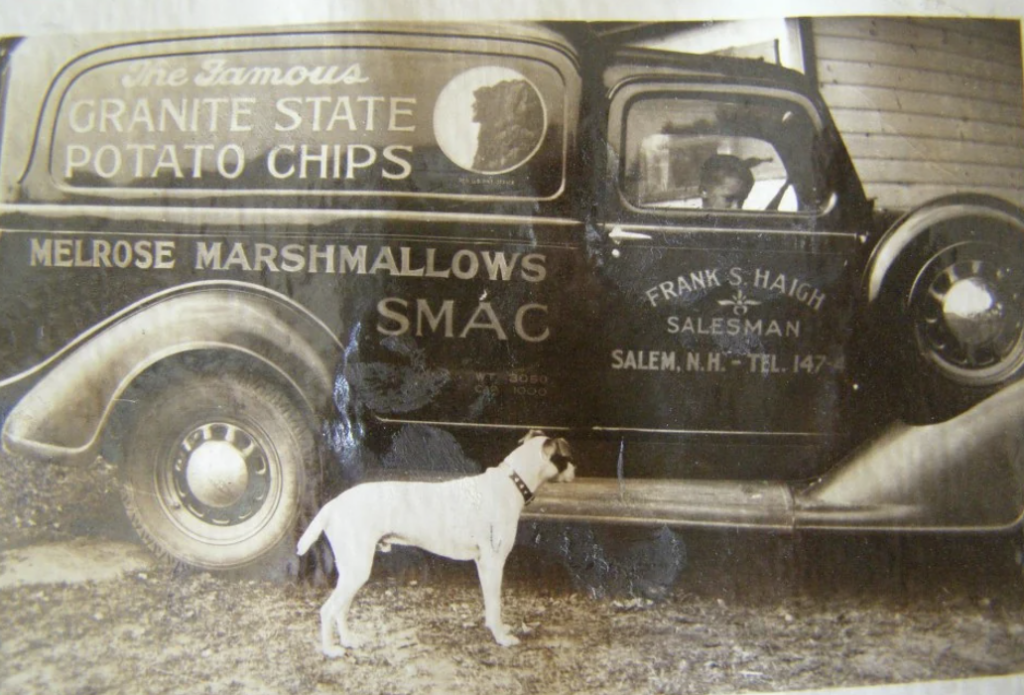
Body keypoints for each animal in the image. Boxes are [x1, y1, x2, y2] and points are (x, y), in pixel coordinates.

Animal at [296, 429, 577, 659]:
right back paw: (331, 650)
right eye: (566, 456)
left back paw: (349, 640)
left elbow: (490, 604)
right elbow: (495, 604)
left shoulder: (484, 565)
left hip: (353, 572)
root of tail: (333, 505)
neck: (511, 483)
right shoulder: (493, 563)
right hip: (356, 570)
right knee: (328, 610)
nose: (577, 470)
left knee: (340, 609)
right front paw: (501, 637)